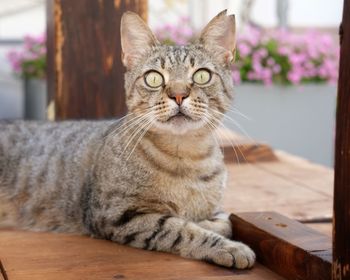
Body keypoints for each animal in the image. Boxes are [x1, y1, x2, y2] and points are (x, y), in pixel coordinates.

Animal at [0, 10, 254, 270]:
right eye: (153, 78)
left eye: (202, 75)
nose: (178, 94)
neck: (185, 156)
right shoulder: (118, 214)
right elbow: (180, 229)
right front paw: (228, 247)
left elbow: (225, 220)